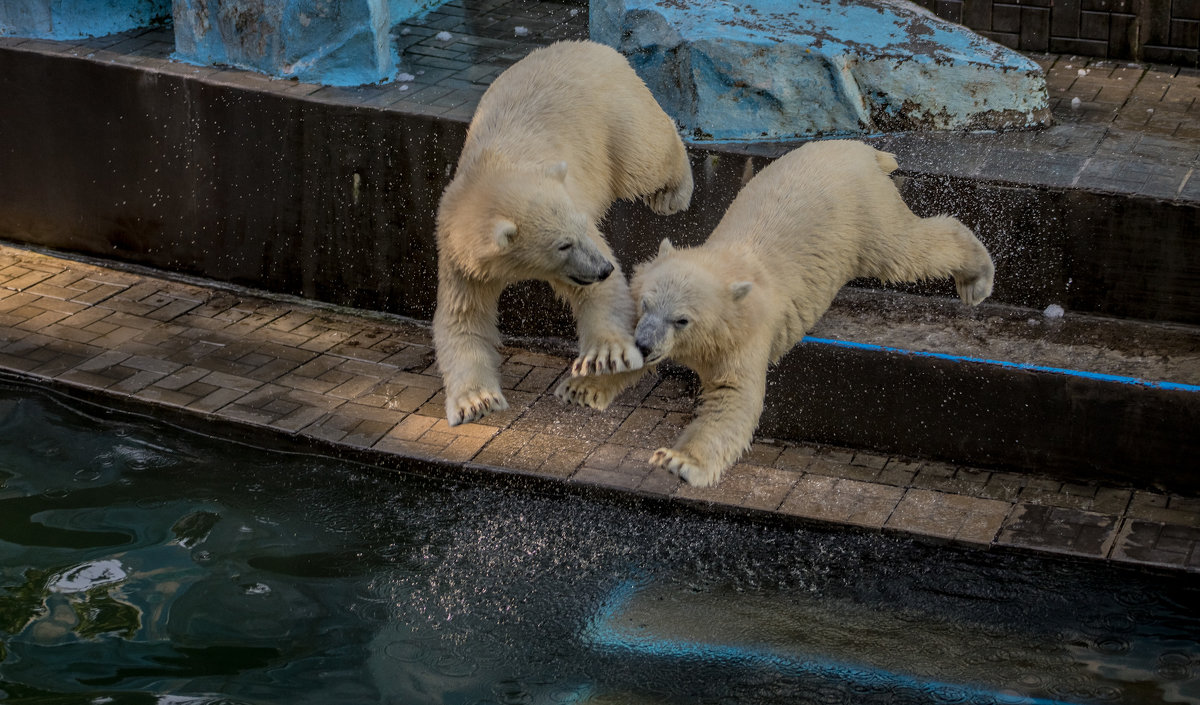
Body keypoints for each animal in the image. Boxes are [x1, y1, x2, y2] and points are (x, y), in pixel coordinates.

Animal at [432, 41, 696, 426]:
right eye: (563, 244)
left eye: (581, 227)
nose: (604, 268)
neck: (496, 168)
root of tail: (599, 49)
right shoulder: (461, 258)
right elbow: (463, 319)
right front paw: (476, 401)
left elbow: (601, 294)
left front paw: (605, 356)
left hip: (615, 117)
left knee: (647, 157)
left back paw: (671, 194)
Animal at [628, 140, 993, 486]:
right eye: (646, 303)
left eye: (682, 320)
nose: (644, 345)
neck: (729, 265)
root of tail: (863, 150)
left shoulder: (745, 336)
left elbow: (732, 400)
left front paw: (679, 461)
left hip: (864, 214)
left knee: (904, 252)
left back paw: (976, 280)